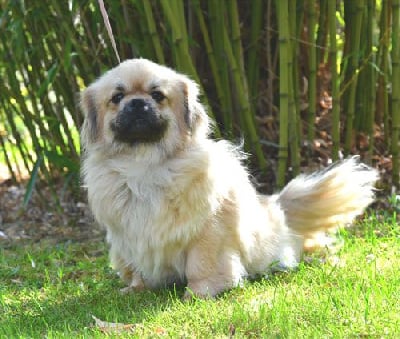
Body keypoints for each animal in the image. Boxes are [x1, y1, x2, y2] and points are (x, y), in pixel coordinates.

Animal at [80, 59, 378, 298]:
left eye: (157, 95)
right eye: (117, 97)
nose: (137, 103)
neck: (145, 165)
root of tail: (275, 206)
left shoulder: (207, 232)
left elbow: (201, 265)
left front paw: (200, 293)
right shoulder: (131, 238)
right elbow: (139, 269)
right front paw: (135, 289)